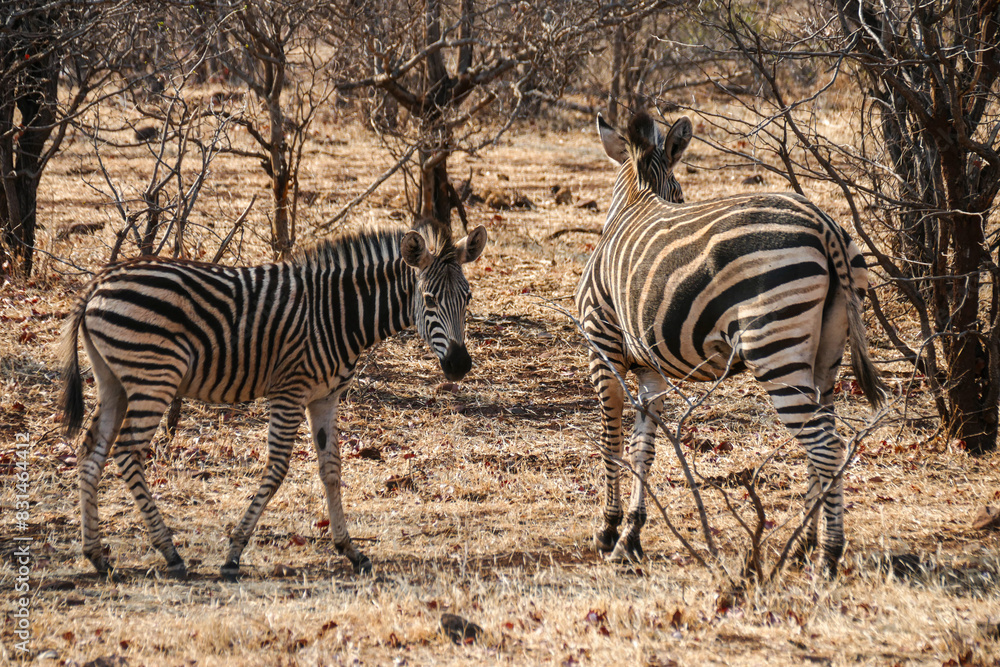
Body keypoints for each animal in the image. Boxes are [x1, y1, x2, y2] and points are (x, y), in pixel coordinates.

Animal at [60, 221, 488, 579]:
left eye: (467, 297)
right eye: (428, 299)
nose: (459, 364)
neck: (338, 314)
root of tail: (100, 279)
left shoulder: (325, 398)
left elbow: (331, 469)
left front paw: (350, 549)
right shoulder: (289, 391)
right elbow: (279, 467)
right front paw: (234, 553)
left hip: (113, 381)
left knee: (90, 452)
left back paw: (97, 555)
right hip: (154, 377)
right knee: (126, 452)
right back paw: (170, 553)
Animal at [574, 111, 886, 575]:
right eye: (681, 194)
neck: (634, 201)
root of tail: (824, 223)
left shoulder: (603, 346)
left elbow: (612, 440)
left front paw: (609, 530)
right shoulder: (650, 369)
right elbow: (642, 448)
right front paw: (631, 534)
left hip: (774, 345)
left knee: (827, 447)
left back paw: (828, 555)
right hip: (827, 354)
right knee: (823, 440)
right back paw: (804, 546)